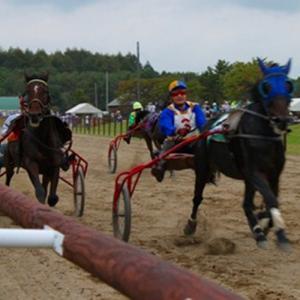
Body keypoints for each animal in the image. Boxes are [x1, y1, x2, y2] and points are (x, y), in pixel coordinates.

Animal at [4, 73, 72, 207]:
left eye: (45, 91)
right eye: (28, 92)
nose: (35, 115)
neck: (42, 138)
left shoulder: (54, 166)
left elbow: (52, 198)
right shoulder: (31, 163)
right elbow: (40, 192)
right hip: (9, 162)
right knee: (8, 178)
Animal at [184, 59, 294, 251]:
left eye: (288, 85)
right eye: (266, 86)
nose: (282, 120)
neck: (261, 135)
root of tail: (206, 127)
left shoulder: (273, 174)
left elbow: (271, 201)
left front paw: (264, 224)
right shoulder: (254, 172)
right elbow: (271, 200)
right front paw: (280, 234)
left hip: (247, 179)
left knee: (246, 204)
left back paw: (258, 231)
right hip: (202, 168)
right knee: (197, 197)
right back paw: (191, 224)